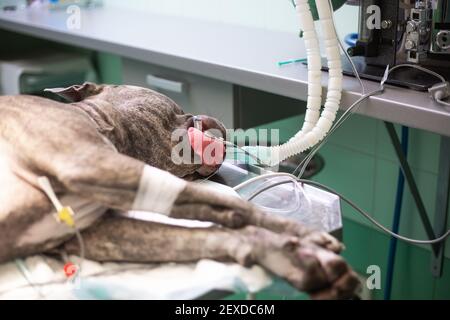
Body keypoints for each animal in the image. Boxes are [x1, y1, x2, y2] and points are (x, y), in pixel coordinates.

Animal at [0, 83, 360, 300]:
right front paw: (308, 237)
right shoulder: (91, 165)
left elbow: (209, 235)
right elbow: (238, 209)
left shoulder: (100, 232)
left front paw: (293, 258)